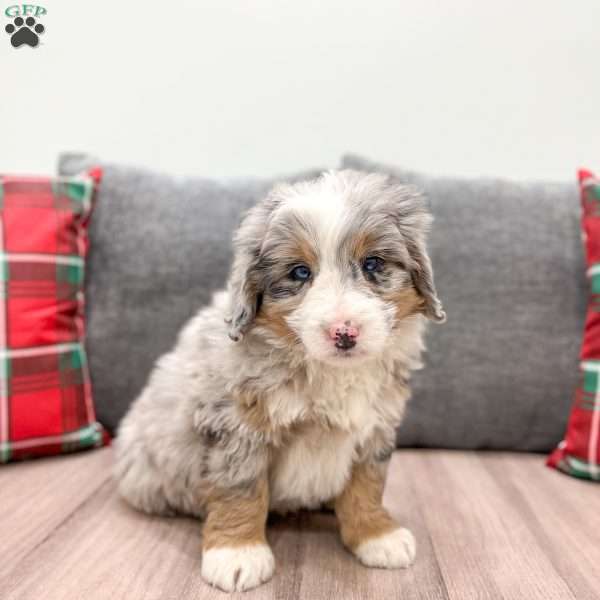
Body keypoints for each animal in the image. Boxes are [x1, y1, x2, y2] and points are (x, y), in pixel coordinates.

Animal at [115, 169, 442, 592]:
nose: (344, 332)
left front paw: (376, 535)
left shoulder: (375, 427)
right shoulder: (238, 426)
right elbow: (241, 489)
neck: (323, 369)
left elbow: (367, 484)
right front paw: (237, 553)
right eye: (299, 273)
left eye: (373, 263)